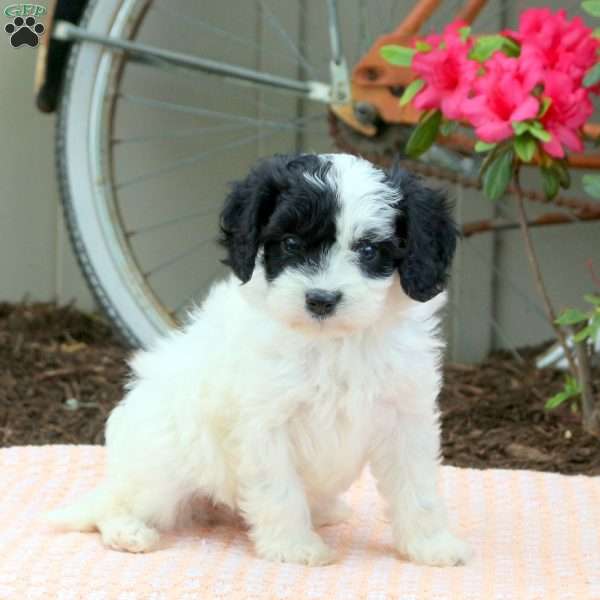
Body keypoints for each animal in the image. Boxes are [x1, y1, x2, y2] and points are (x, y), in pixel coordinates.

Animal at [49, 152, 468, 564]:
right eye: (291, 242)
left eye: (367, 250)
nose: (321, 299)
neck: (332, 341)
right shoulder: (265, 422)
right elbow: (278, 488)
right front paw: (294, 547)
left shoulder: (406, 414)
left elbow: (417, 486)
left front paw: (431, 544)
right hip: (163, 467)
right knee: (118, 505)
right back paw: (129, 532)